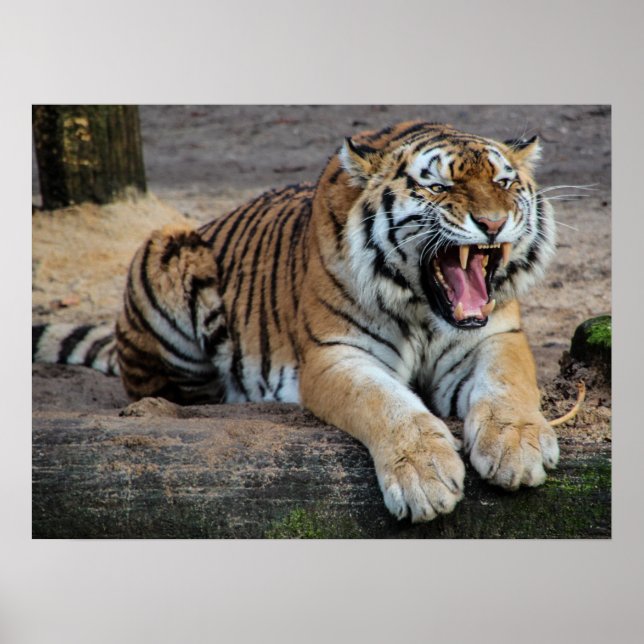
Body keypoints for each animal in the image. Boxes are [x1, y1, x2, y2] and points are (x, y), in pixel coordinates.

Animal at [33, 120, 560, 523]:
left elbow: (508, 384)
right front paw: (423, 477)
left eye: (504, 184)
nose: (492, 223)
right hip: (166, 245)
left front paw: (516, 447)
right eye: (438, 186)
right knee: (170, 391)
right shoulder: (335, 354)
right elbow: (388, 404)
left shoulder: (496, 336)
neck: (422, 308)